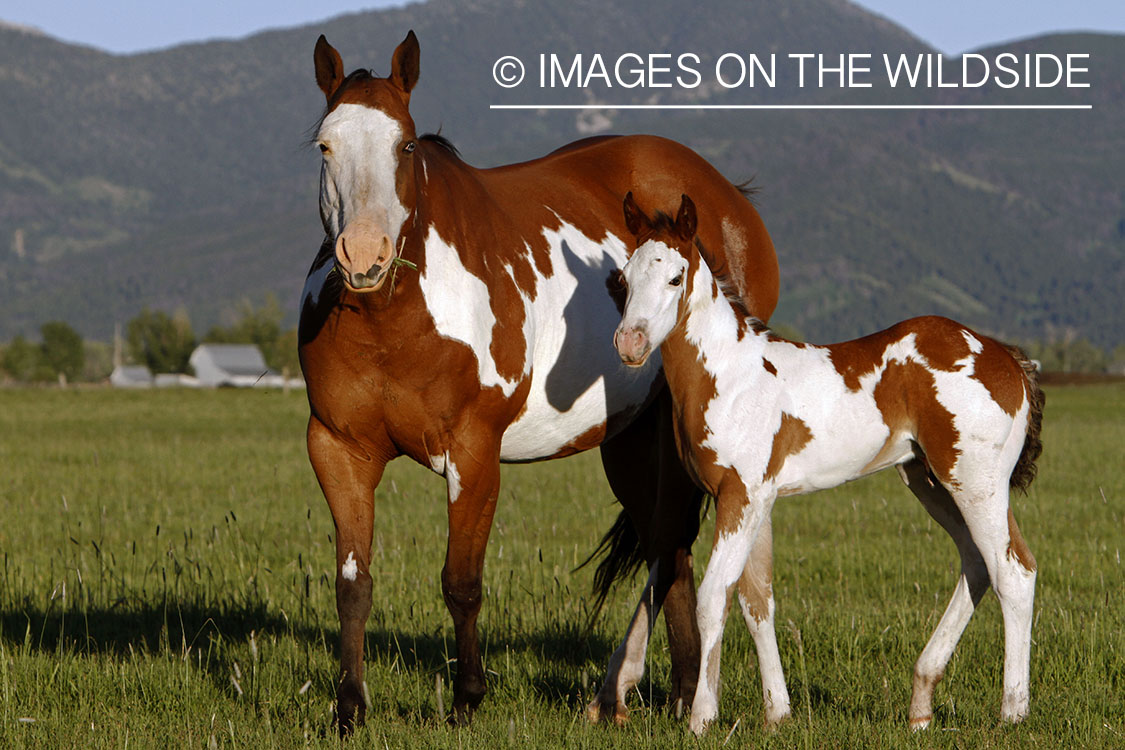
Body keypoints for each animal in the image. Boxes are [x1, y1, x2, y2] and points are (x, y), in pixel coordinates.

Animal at [299, 31, 781, 730]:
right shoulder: (339, 450)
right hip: (631, 440)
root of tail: (725, 197)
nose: (364, 255)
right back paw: (668, 690)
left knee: (678, 543)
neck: (392, 321)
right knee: (669, 548)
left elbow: (461, 582)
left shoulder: (473, 453)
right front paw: (350, 709)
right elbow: (353, 585)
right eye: (325, 145)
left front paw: (467, 700)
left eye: (406, 145)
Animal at [612, 193, 1043, 735]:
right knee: (978, 562)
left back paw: (1013, 711)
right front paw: (777, 713)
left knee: (1013, 572)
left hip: (975, 481)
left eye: (674, 277)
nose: (629, 343)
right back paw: (921, 704)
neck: (730, 375)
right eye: (624, 278)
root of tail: (1007, 359)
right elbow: (756, 600)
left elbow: (714, 597)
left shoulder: (740, 496)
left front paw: (702, 718)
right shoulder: (758, 501)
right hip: (929, 479)